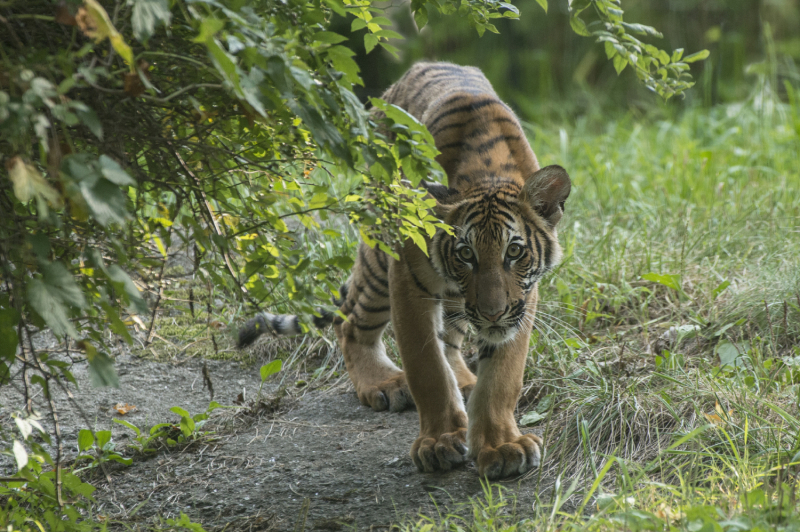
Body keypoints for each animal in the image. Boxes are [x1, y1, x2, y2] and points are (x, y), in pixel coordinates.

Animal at [238, 61, 571, 479]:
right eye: (466, 254)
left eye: (514, 251)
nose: (492, 314)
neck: (487, 175)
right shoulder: (409, 278)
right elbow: (426, 367)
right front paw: (440, 442)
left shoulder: (522, 299)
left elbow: (502, 375)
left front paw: (501, 446)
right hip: (380, 257)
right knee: (349, 322)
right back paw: (383, 383)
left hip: (452, 296)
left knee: (450, 338)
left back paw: (464, 380)